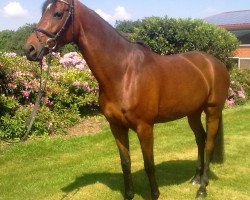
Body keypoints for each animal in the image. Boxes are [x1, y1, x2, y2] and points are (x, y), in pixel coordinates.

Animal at [24, 0, 229, 199]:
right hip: (193, 113)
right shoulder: (116, 126)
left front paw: (155, 194)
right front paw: (129, 194)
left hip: (213, 111)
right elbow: (125, 162)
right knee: (200, 139)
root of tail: (215, 63)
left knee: (209, 144)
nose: (30, 49)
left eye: (58, 13)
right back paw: (195, 178)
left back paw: (202, 188)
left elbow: (148, 164)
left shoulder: (144, 127)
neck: (124, 73)